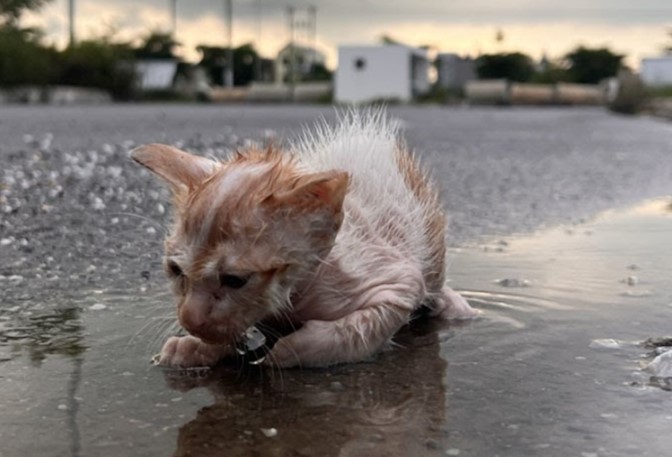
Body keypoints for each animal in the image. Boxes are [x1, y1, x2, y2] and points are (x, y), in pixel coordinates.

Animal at [133, 111, 478, 366]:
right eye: (175, 271)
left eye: (235, 280)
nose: (189, 319)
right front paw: (194, 348)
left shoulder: (399, 285)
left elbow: (350, 332)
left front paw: (283, 354)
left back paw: (454, 306)